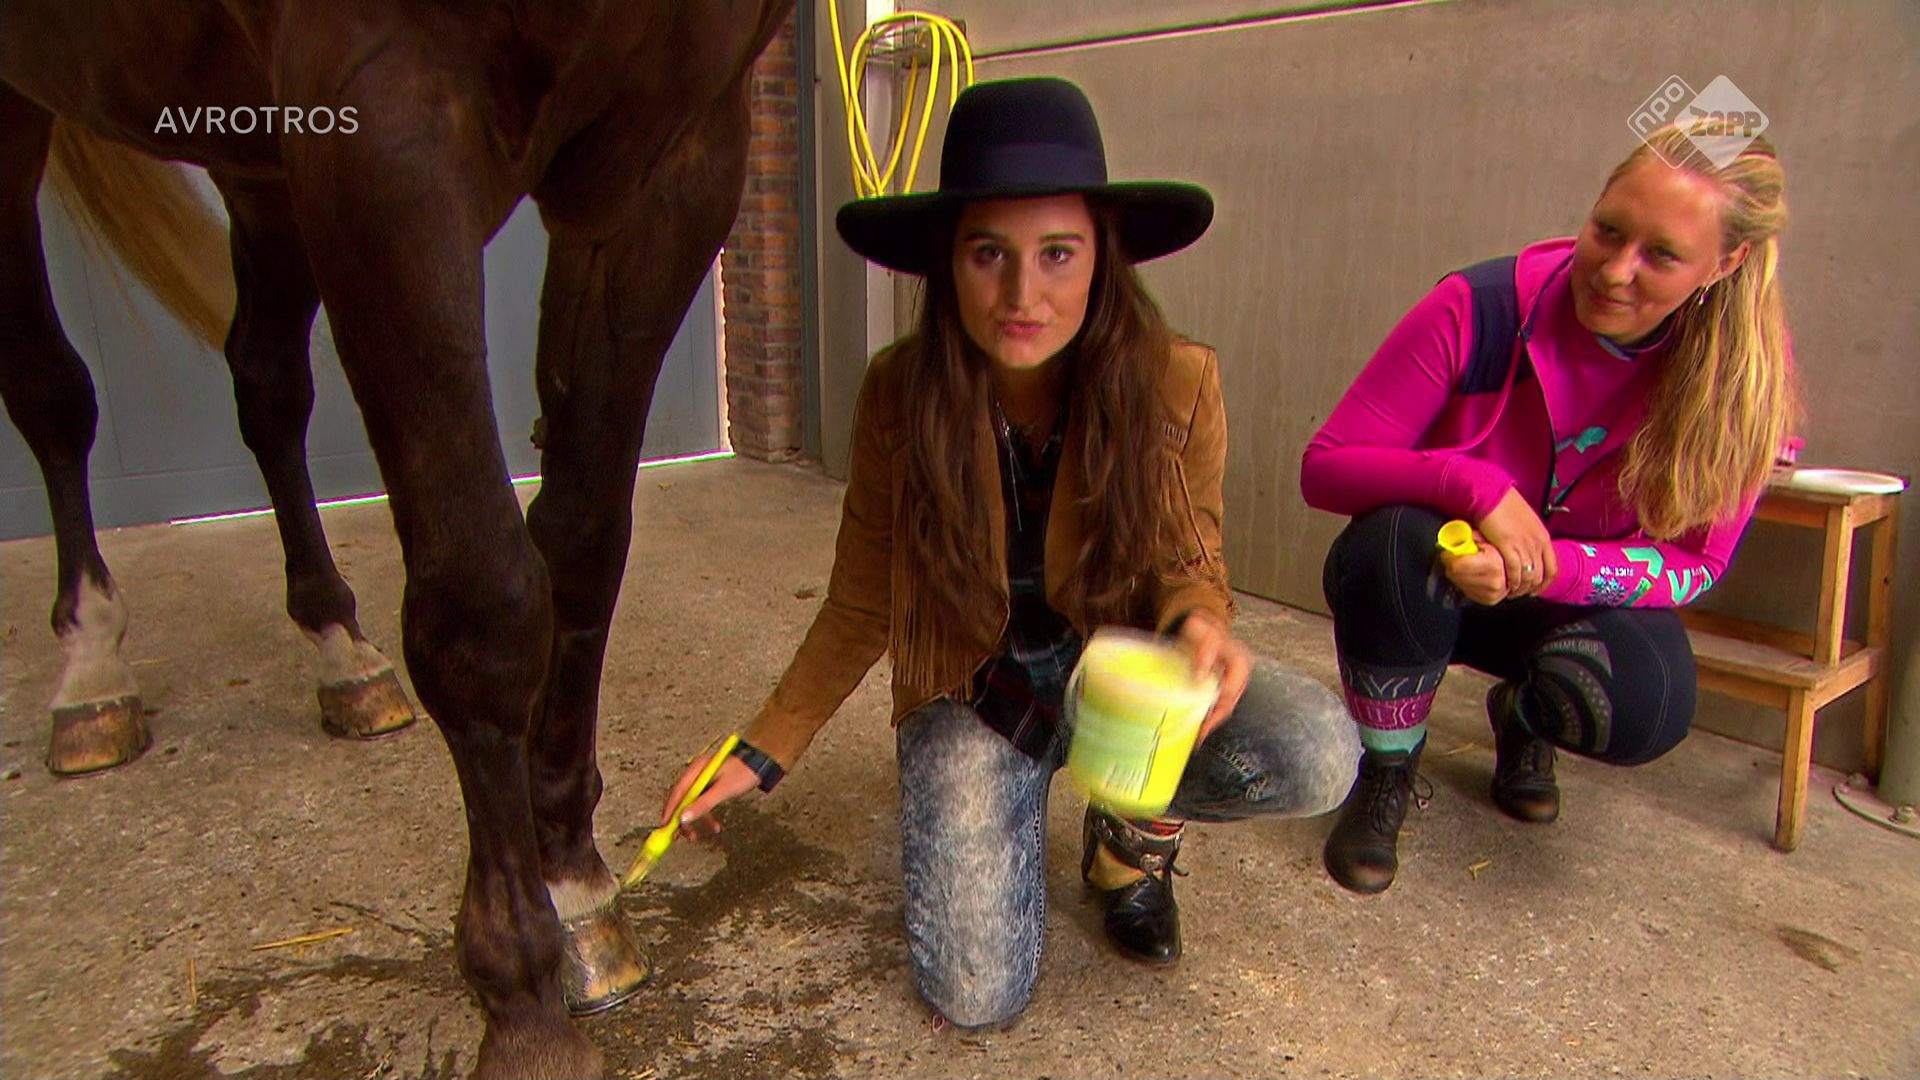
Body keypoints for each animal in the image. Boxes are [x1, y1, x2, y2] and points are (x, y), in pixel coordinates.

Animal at [0, 2, 794, 1075]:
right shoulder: (384, 136)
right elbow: (482, 602)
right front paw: (524, 1004)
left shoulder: (680, 147)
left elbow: (582, 542)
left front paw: (573, 885)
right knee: (50, 388)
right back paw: (91, 667)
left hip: (255, 157)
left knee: (265, 382)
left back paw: (342, 651)